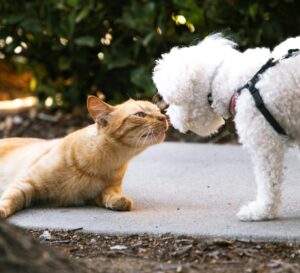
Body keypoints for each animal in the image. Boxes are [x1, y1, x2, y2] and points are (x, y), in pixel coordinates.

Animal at [0, 95, 168, 217]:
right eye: (140, 114)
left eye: (159, 111)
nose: (164, 118)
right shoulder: (26, 183)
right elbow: (8, 199)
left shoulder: (101, 192)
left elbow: (110, 195)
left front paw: (120, 201)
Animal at [152, 34, 300, 221]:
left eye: (173, 102)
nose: (169, 117)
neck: (237, 83)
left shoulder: (265, 144)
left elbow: (268, 183)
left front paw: (261, 211)